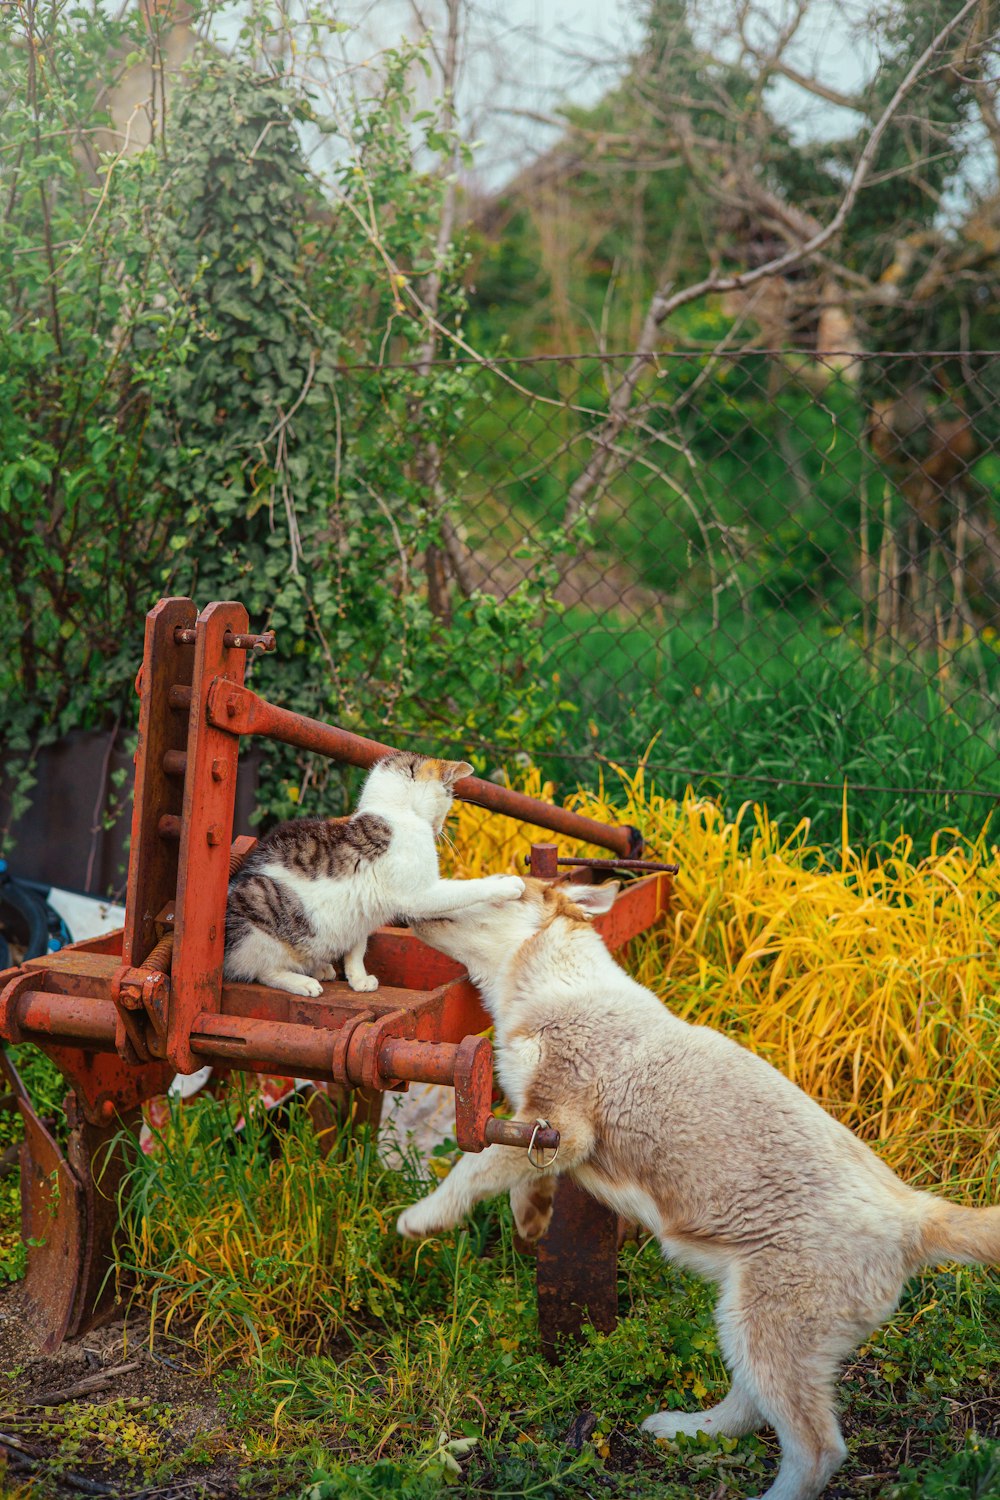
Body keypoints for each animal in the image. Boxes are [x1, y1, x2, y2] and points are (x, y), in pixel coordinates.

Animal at [224, 750, 524, 996]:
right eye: (449, 798)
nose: (439, 829)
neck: (393, 811)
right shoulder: (419, 895)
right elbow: (466, 888)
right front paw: (507, 884)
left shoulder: (359, 915)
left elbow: (357, 949)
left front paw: (358, 978)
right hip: (256, 912)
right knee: (260, 970)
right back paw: (302, 982)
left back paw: (320, 967)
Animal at [395, 876, 1000, 1500]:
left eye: (496, 887)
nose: (407, 906)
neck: (557, 986)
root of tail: (915, 1217)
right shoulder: (540, 1128)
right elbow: (519, 1180)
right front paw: (530, 1221)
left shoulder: (561, 1122)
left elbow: (473, 1168)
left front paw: (424, 1217)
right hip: (745, 1323)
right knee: (750, 1410)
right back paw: (688, 1429)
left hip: (767, 1329)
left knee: (816, 1450)